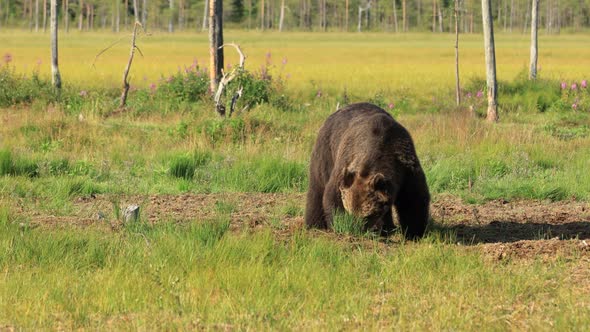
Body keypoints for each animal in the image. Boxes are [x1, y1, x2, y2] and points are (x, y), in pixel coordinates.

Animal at [306, 102, 430, 239]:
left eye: (367, 216)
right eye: (350, 212)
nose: (356, 230)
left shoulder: (406, 168)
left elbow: (413, 199)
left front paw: (413, 233)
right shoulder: (346, 164)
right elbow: (333, 195)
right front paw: (339, 224)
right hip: (326, 152)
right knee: (317, 188)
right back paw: (314, 224)